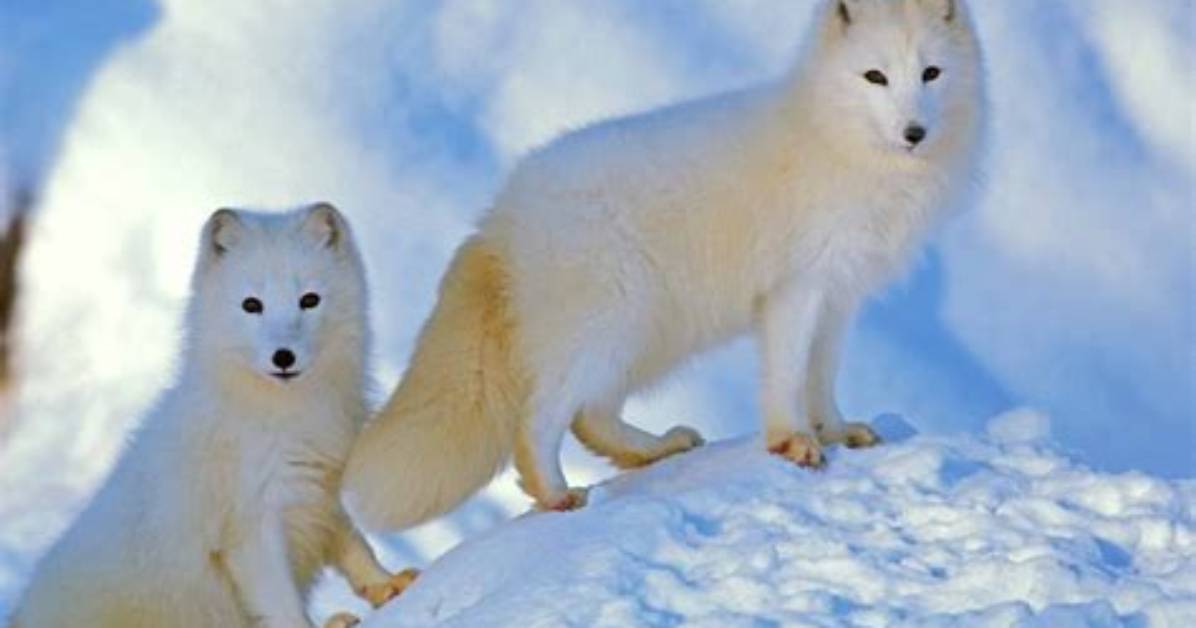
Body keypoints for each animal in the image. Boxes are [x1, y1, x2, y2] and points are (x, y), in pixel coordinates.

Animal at [11, 204, 415, 628]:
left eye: (309, 300)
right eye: (252, 305)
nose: (283, 357)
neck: (283, 414)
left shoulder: (321, 486)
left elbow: (355, 546)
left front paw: (387, 584)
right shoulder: (248, 528)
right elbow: (284, 607)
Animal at [343, 0, 984, 523]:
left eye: (930, 73)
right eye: (876, 77)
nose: (914, 132)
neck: (837, 139)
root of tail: (500, 214)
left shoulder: (840, 294)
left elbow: (821, 379)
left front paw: (838, 432)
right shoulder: (795, 290)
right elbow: (787, 378)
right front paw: (793, 443)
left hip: (641, 337)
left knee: (592, 416)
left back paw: (656, 449)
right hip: (608, 326)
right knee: (541, 418)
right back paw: (556, 494)